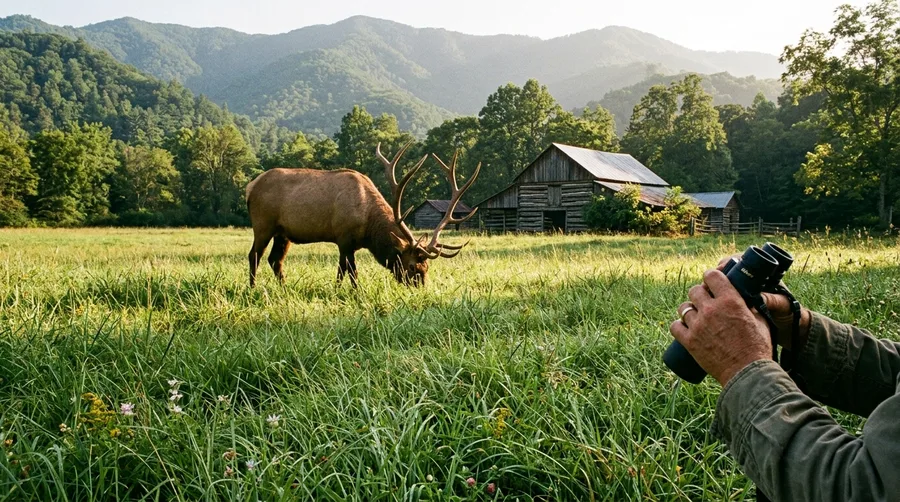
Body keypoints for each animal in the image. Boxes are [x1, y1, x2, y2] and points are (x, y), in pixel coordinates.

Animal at [245, 142, 480, 287]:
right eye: (412, 265)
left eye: (427, 266)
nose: (421, 288)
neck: (369, 227)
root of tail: (250, 187)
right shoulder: (344, 237)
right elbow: (351, 272)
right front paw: (355, 294)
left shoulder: (348, 243)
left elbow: (341, 270)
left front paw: (337, 291)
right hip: (263, 224)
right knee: (254, 255)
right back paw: (253, 289)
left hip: (283, 233)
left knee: (275, 260)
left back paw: (284, 288)